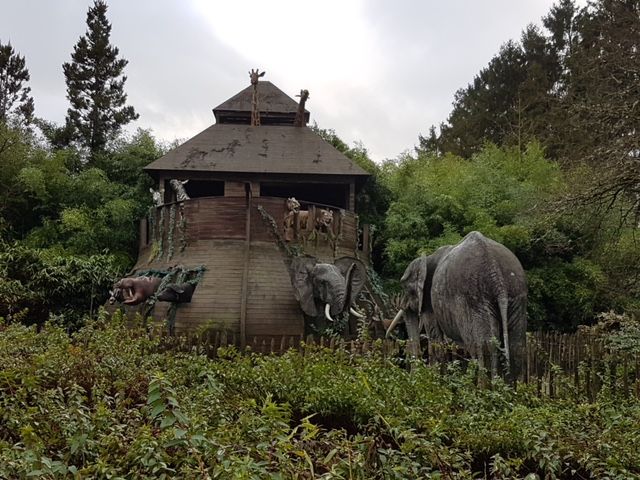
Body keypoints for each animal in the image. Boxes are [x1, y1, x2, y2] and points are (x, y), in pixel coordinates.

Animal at [388, 231, 528, 380]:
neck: (427, 258)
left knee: (482, 349)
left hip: (474, 301)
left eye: (404, 287)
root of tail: (498, 281)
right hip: (517, 294)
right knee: (516, 347)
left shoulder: (429, 301)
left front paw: (437, 380)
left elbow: (435, 338)